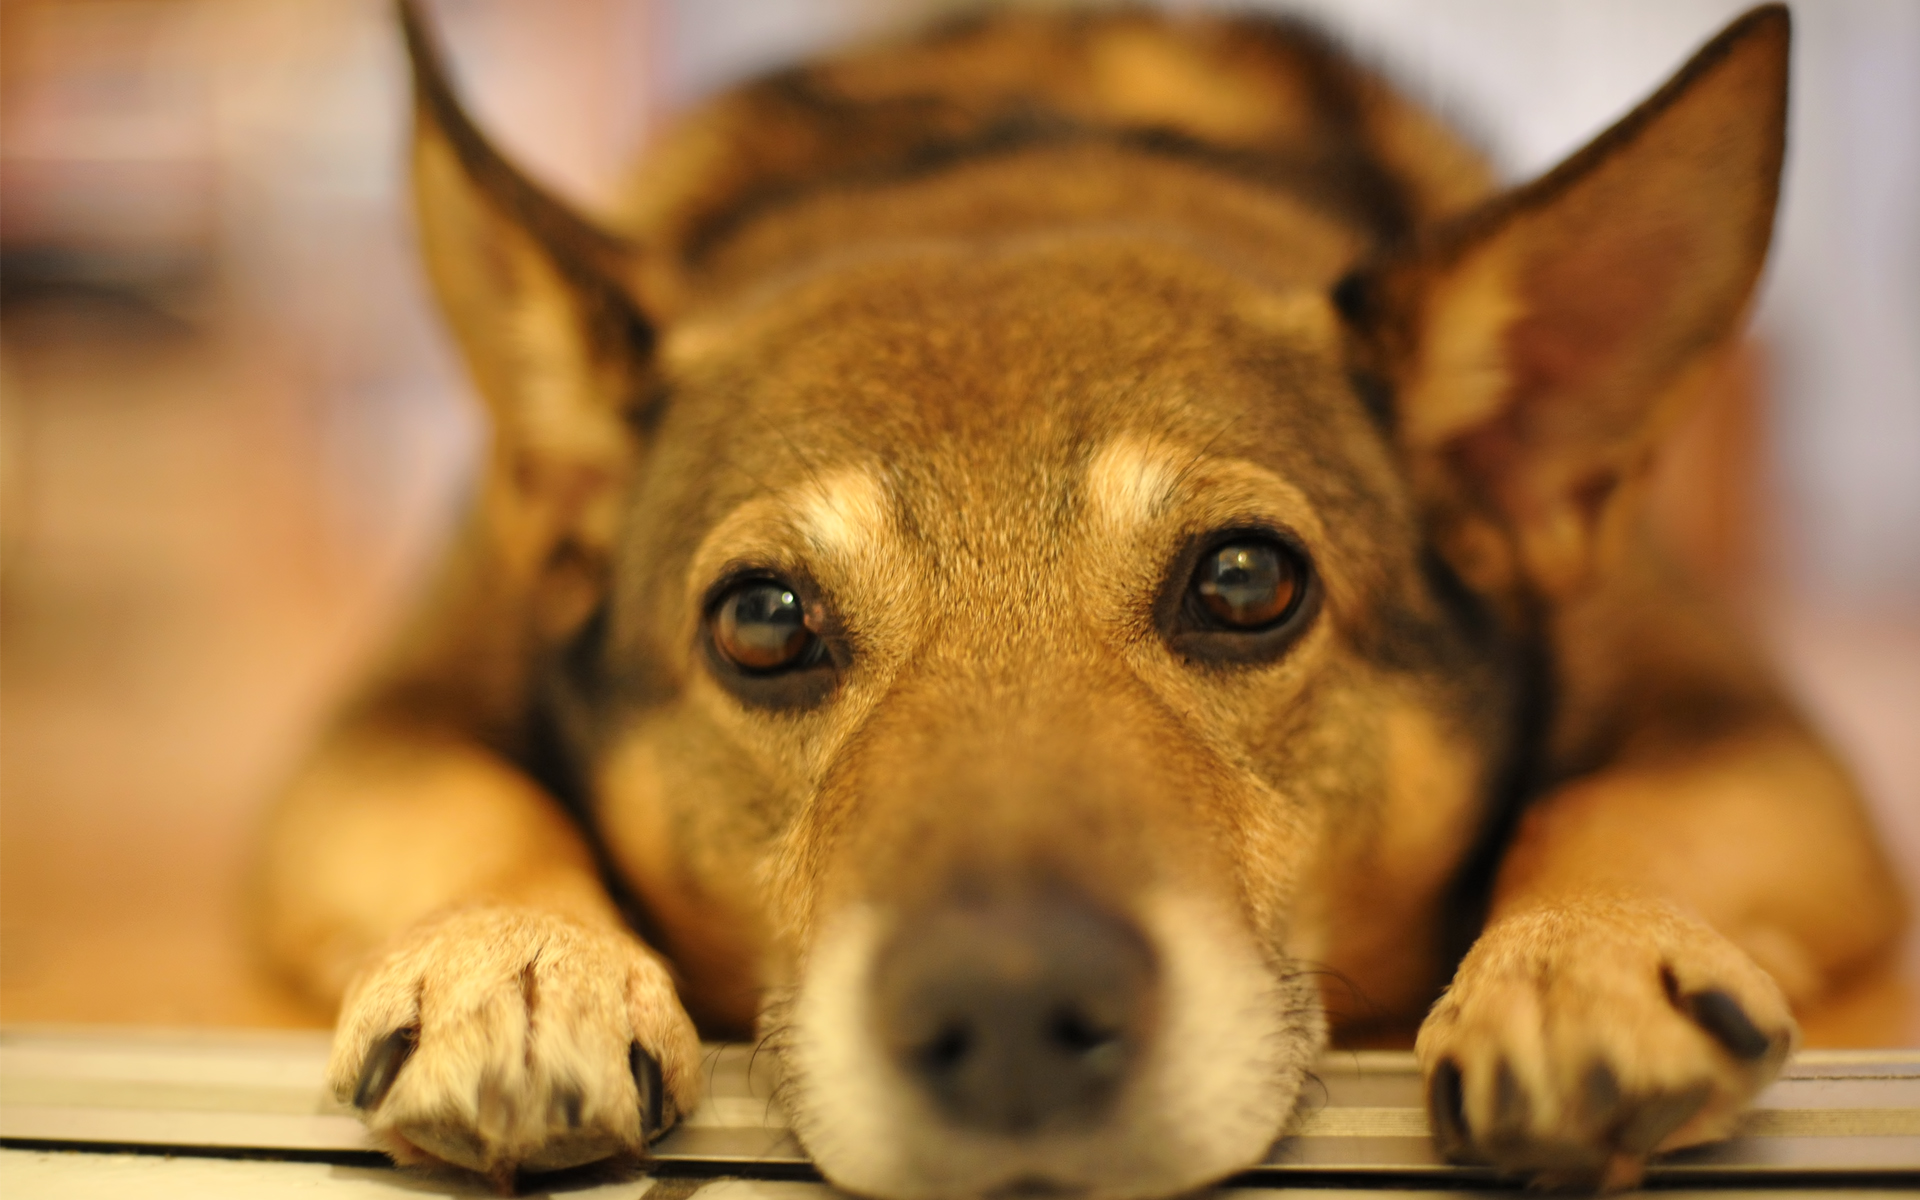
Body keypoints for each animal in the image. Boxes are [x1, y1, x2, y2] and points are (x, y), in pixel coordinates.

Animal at [255, 4, 1904, 1190]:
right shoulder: (388, 716)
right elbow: (460, 804)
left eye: (1245, 581)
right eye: (763, 622)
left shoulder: (1743, 724)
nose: (1007, 1021)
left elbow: (1618, 806)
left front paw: (1586, 962)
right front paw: (514, 968)